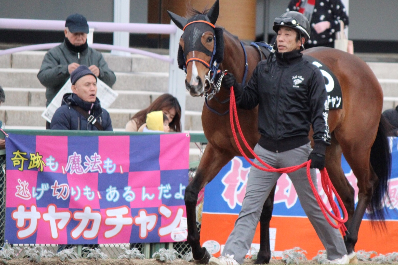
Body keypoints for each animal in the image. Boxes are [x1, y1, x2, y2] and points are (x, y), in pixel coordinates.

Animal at [168, 1, 392, 262]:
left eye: (208, 38)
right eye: (182, 42)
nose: (194, 82)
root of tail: (363, 67)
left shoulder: (265, 154)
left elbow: (265, 207)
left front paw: (263, 254)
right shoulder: (218, 149)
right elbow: (191, 192)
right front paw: (199, 250)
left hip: (357, 144)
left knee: (367, 185)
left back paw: (349, 240)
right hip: (329, 148)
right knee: (347, 192)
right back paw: (346, 246)